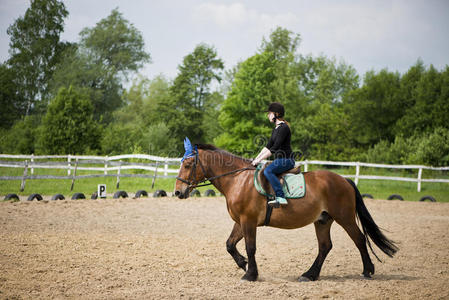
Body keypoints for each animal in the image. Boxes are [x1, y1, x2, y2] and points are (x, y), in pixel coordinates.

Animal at [173, 143, 398, 282]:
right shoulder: (240, 221)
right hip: (323, 220)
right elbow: (230, 244)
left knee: (359, 239)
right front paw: (244, 264)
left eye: (188, 164)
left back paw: (367, 271)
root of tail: (344, 179)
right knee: (325, 246)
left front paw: (250, 274)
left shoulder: (248, 221)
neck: (237, 179)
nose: (177, 192)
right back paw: (309, 274)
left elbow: (250, 247)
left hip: (345, 217)